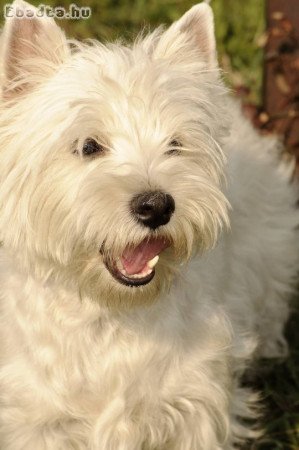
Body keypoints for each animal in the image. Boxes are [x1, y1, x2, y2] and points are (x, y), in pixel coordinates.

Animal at [0, 0, 298, 448]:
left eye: (175, 145)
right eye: (88, 146)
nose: (156, 206)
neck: (109, 314)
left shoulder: (193, 405)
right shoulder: (37, 419)